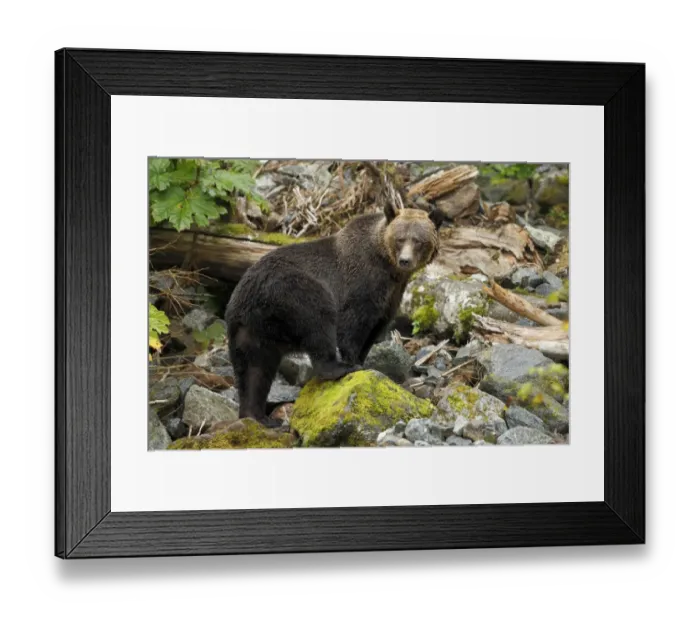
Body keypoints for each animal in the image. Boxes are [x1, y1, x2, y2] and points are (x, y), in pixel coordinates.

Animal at [224, 203, 445, 427]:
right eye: (400, 238)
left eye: (418, 241)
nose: (405, 260)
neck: (388, 267)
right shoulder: (362, 283)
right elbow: (352, 324)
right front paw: (353, 362)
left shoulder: (390, 298)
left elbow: (374, 330)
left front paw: (362, 360)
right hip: (294, 292)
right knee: (318, 324)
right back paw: (337, 368)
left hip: (251, 329)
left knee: (254, 370)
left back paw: (259, 416)